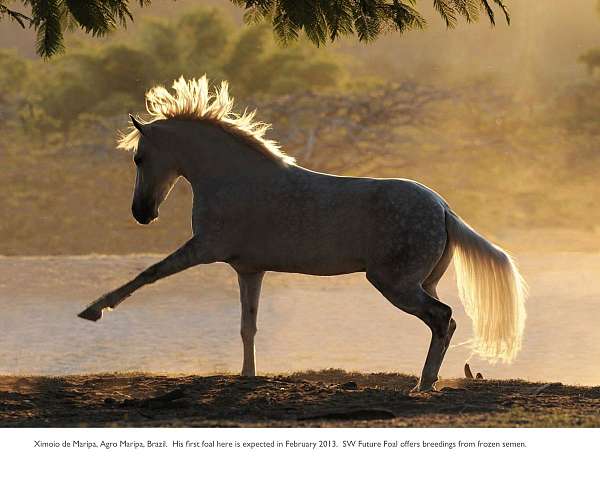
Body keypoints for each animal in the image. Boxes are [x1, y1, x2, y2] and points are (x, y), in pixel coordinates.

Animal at [78, 75, 524, 390]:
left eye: (139, 157)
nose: (142, 214)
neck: (232, 177)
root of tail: (443, 207)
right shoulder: (248, 269)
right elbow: (247, 325)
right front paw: (247, 375)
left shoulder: (204, 247)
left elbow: (148, 274)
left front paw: (93, 309)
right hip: (420, 282)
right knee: (443, 322)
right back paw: (425, 381)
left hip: (395, 284)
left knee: (442, 319)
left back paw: (423, 383)